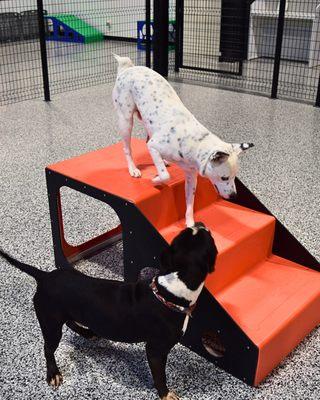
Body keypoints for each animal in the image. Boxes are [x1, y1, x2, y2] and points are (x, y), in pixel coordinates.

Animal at [0, 222, 218, 400]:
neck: (170, 289)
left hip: (64, 313)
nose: (200, 222)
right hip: (51, 322)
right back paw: (53, 373)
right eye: (209, 239)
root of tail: (44, 276)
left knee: (70, 322)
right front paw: (165, 394)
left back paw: (87, 332)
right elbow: (159, 376)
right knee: (48, 348)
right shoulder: (156, 350)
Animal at [112, 54, 255, 227]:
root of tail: (128, 68)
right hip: (125, 121)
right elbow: (165, 176)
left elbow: (190, 203)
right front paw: (155, 180)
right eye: (224, 178)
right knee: (127, 148)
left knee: (147, 139)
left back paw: (163, 161)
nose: (234, 196)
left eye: (235, 177)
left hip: (147, 123)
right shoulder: (154, 146)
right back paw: (133, 169)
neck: (195, 143)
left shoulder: (191, 177)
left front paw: (190, 223)